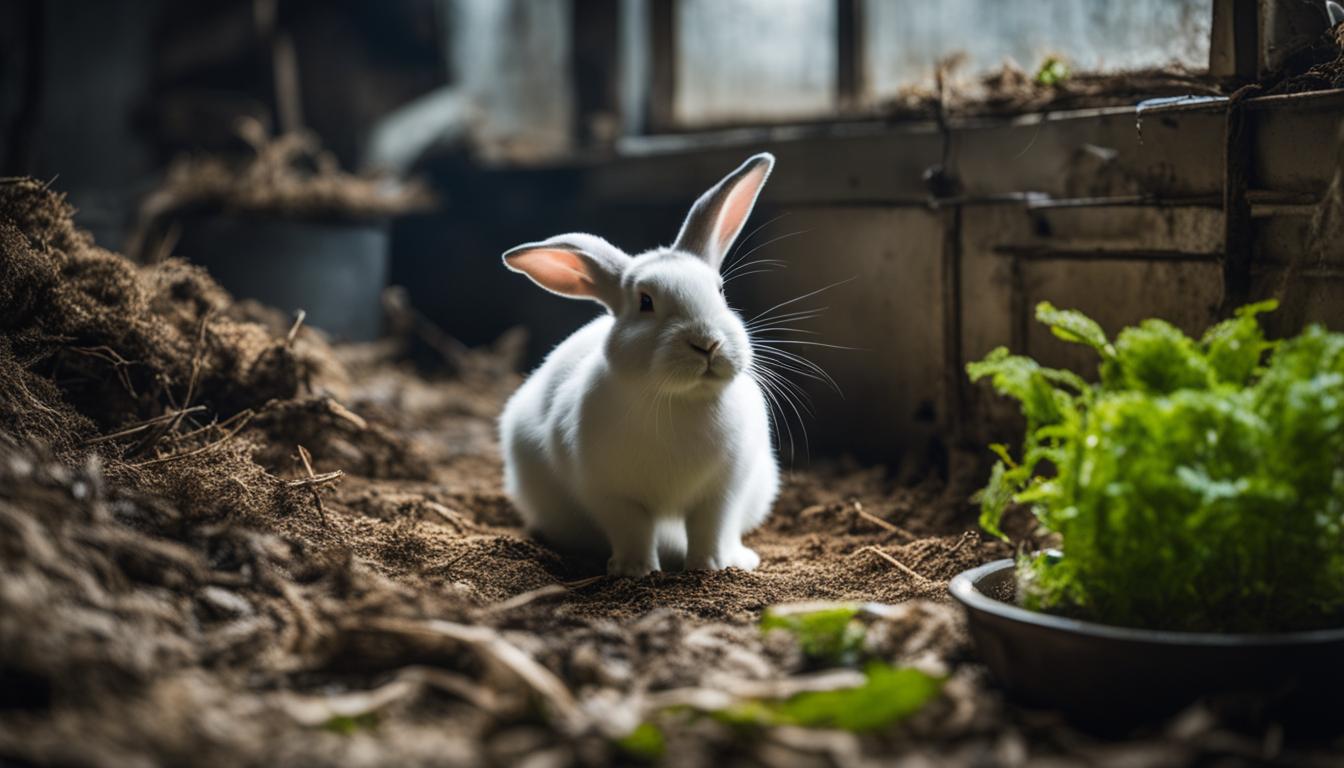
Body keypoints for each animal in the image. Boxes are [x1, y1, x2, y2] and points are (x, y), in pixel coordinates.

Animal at [498, 153, 780, 577]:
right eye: (645, 302)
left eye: (720, 292)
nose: (707, 343)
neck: (681, 401)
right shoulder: (611, 494)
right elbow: (633, 530)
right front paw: (636, 571)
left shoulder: (723, 491)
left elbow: (710, 528)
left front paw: (709, 567)